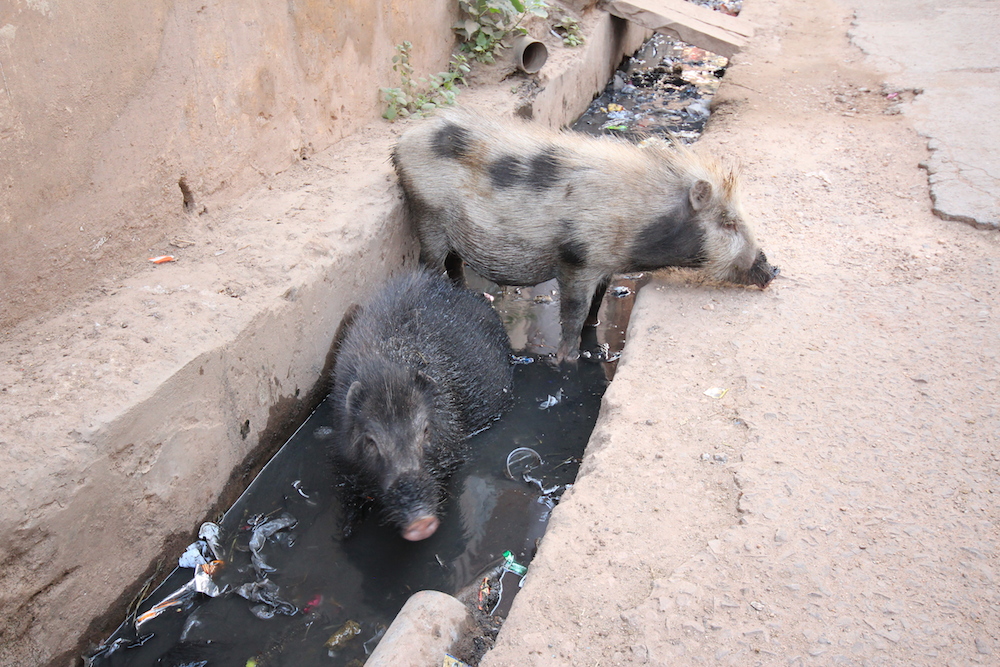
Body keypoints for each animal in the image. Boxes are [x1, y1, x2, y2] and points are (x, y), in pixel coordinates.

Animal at [391, 110, 779, 361]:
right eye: (728, 222)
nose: (772, 270)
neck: (639, 221)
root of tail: (401, 143)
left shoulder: (605, 265)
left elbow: (598, 302)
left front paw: (597, 333)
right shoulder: (577, 259)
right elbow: (574, 311)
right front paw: (568, 359)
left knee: (455, 264)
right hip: (426, 213)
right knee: (431, 262)